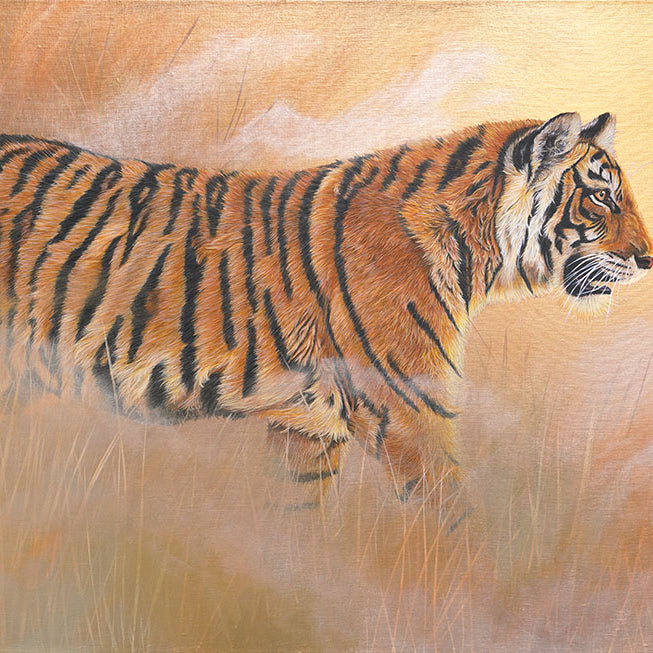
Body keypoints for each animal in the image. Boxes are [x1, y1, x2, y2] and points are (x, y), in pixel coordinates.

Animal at [0, 112, 650, 512]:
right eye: (600, 196)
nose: (647, 258)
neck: (476, 253)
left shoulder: (308, 427)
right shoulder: (409, 410)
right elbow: (454, 527)